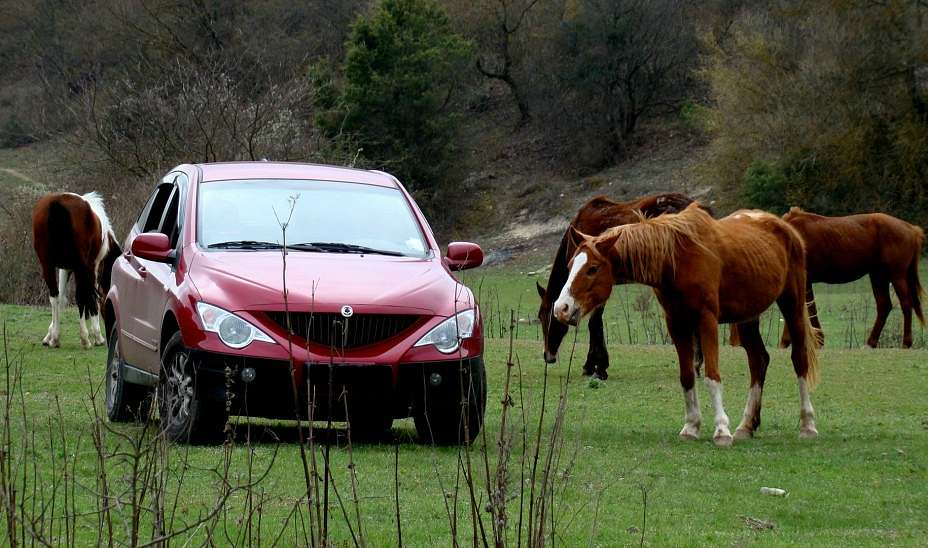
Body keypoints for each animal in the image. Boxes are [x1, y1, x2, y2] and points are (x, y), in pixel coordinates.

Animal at [32, 191, 120, 348]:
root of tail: (57, 203)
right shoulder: (92, 266)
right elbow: (91, 297)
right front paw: (97, 336)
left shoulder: (66, 269)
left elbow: (61, 298)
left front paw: (49, 335)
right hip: (81, 267)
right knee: (81, 296)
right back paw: (85, 339)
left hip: (47, 265)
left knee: (54, 296)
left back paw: (55, 339)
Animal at [552, 204, 820, 446]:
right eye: (570, 266)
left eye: (592, 268)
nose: (561, 308)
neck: (675, 260)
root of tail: (786, 227)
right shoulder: (676, 323)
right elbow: (687, 376)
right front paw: (691, 426)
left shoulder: (706, 319)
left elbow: (712, 376)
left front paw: (721, 430)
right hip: (747, 317)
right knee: (759, 361)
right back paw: (746, 425)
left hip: (792, 304)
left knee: (799, 359)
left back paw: (807, 425)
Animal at [780, 208, 924, 348]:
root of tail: (912, 229)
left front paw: (817, 341)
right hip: (878, 276)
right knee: (884, 306)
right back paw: (871, 343)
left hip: (897, 276)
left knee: (906, 303)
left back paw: (906, 343)